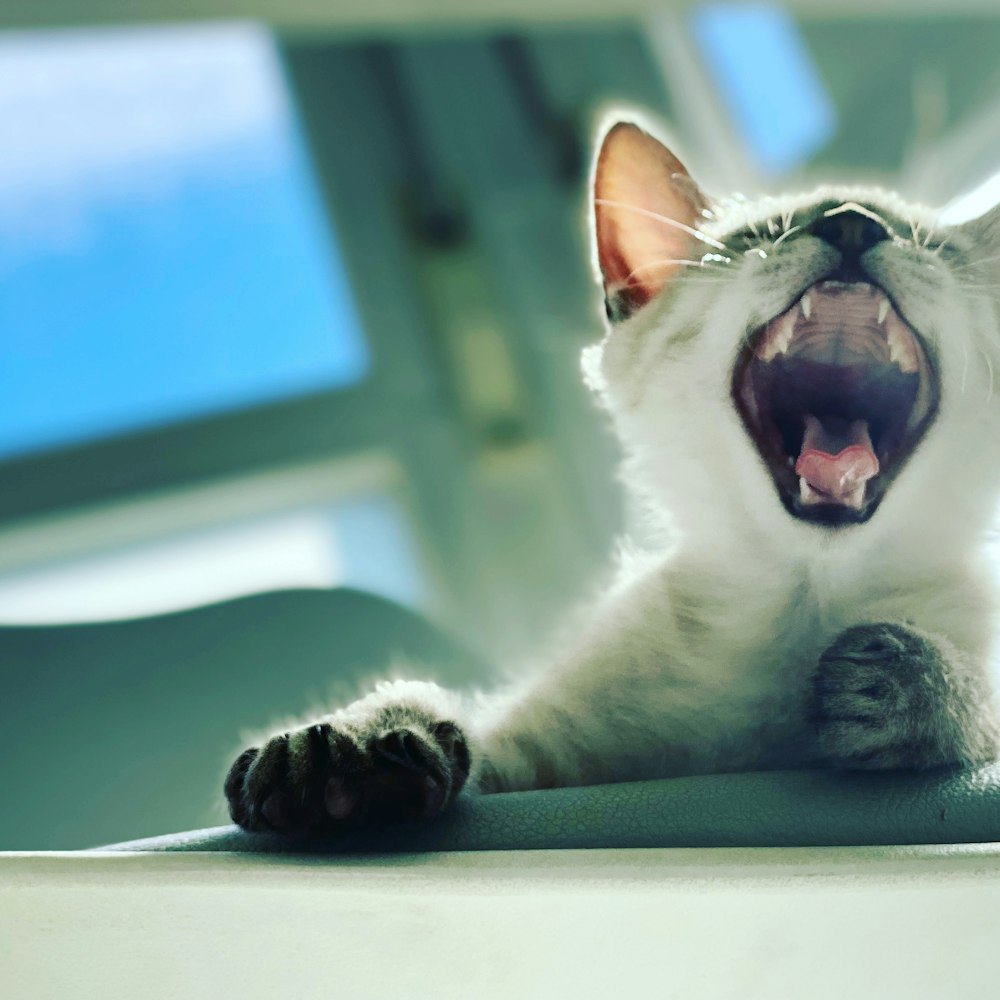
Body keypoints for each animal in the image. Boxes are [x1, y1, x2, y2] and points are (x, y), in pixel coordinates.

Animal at [223, 115, 1000, 836]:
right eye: (762, 235)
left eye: (935, 247)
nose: (853, 224)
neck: (805, 596)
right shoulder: (540, 766)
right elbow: (460, 725)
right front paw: (353, 746)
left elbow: (979, 708)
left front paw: (913, 680)